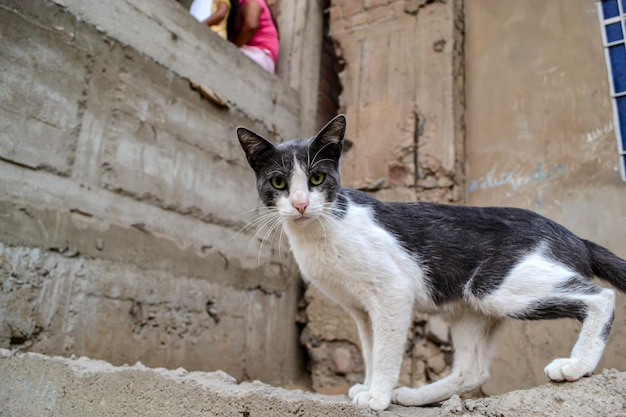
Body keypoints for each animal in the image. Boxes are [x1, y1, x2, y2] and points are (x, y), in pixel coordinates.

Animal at [235, 114, 624, 410]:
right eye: (279, 182)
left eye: (317, 178)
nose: (300, 204)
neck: (322, 229)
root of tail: (574, 237)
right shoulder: (360, 308)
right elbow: (370, 348)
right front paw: (370, 387)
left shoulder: (392, 292)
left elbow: (386, 351)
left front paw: (377, 396)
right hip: (472, 309)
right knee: (473, 370)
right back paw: (415, 396)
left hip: (495, 287)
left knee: (600, 297)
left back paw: (576, 365)